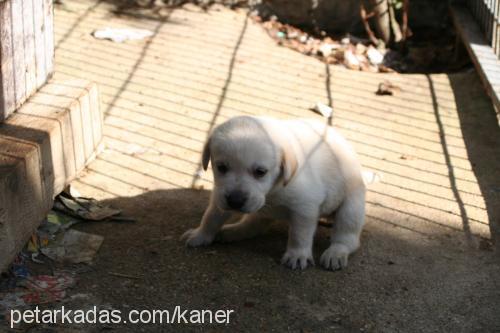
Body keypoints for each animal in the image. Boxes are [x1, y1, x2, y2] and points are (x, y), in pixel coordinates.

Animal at [182, 115, 366, 270]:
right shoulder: (220, 196)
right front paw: (200, 234)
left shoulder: (305, 207)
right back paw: (233, 231)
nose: (235, 201)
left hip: (351, 208)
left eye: (260, 172)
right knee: (253, 225)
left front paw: (297, 254)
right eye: (221, 167)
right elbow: (211, 217)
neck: (271, 193)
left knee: (348, 238)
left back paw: (336, 253)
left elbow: (300, 234)